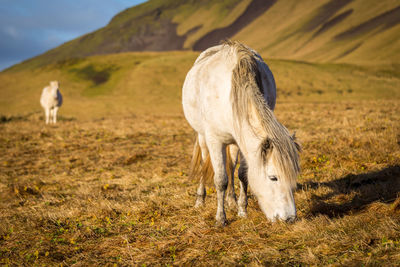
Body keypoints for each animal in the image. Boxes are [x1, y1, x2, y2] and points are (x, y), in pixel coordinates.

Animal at [181, 40, 300, 227]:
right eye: (273, 177)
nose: (289, 219)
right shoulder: (215, 141)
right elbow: (220, 179)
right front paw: (220, 219)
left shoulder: (246, 144)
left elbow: (242, 175)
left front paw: (242, 210)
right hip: (202, 137)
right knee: (204, 163)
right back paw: (200, 199)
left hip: (234, 143)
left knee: (231, 165)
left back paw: (231, 200)